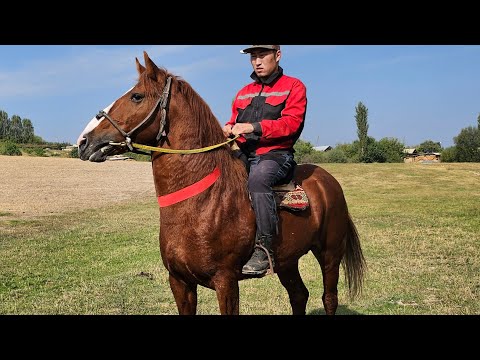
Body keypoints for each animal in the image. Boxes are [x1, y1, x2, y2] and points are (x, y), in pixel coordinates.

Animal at [77, 50, 366, 316]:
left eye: (136, 96)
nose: (84, 141)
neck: (202, 201)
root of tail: (328, 181)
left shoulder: (225, 281)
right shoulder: (179, 282)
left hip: (329, 254)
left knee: (329, 298)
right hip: (287, 261)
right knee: (299, 295)